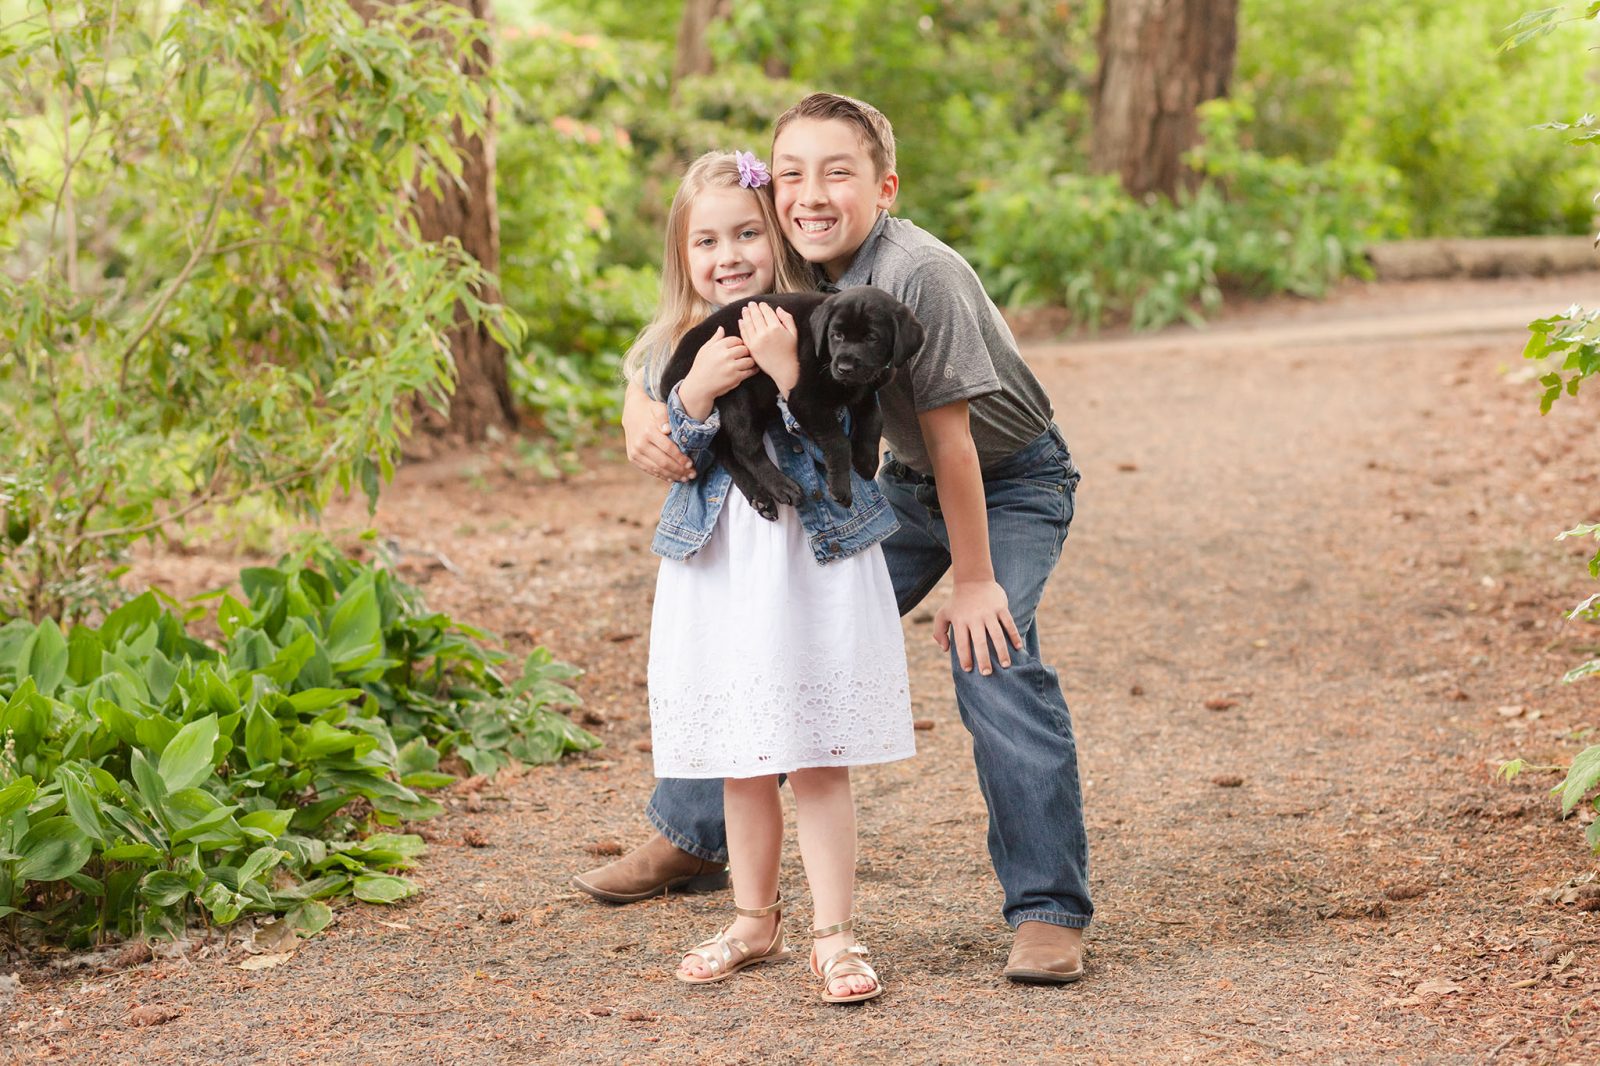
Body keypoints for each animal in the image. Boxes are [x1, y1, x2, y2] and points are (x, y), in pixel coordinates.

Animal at [652, 288, 928, 521]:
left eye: (872, 338)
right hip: (733, 389)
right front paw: (840, 487)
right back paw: (782, 487)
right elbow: (838, 441)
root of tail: (669, 373)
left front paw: (867, 461)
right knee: (744, 448)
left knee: (727, 453)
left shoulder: (866, 389)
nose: (844, 368)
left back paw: (760, 497)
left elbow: (874, 419)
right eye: (836, 335)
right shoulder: (804, 399)